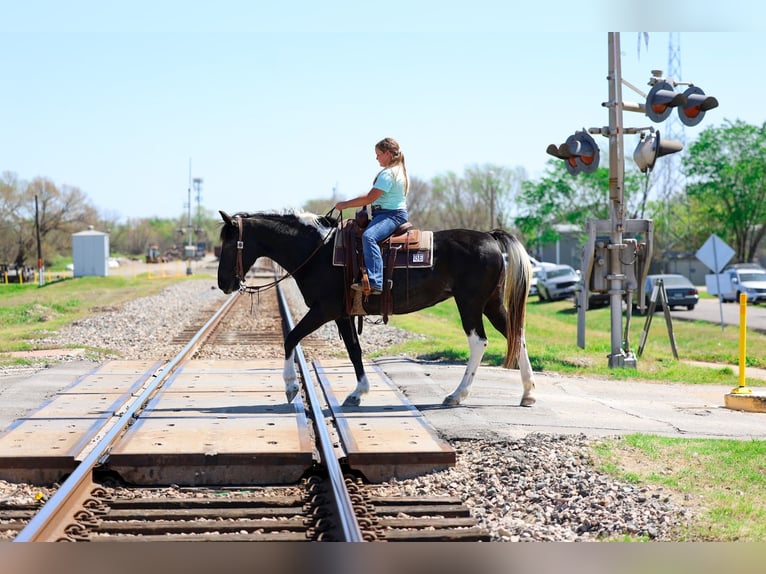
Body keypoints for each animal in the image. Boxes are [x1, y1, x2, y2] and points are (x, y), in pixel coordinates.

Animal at [217, 210, 536, 408]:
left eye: (229, 245)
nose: (223, 284)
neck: (318, 251)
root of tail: (489, 236)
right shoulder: (343, 314)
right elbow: (354, 350)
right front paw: (358, 392)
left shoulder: (324, 310)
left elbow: (291, 337)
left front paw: (290, 387)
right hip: (491, 303)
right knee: (516, 334)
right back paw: (528, 393)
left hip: (469, 303)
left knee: (479, 342)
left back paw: (457, 395)